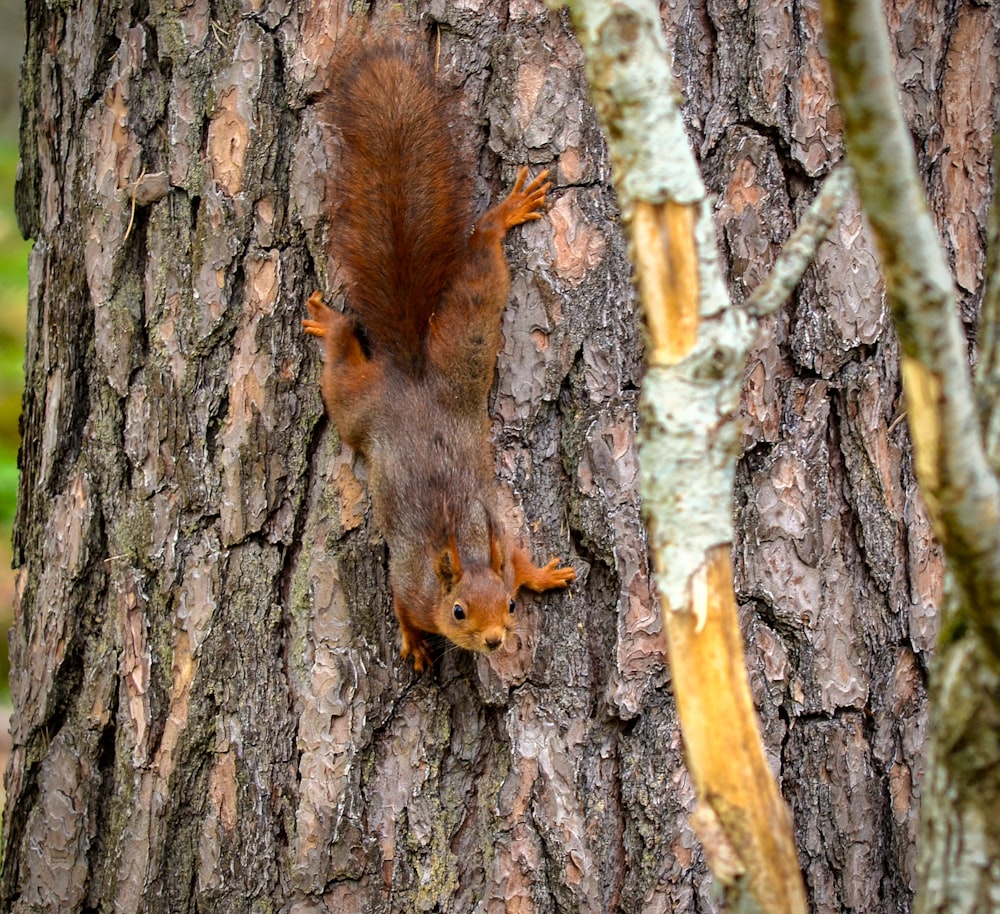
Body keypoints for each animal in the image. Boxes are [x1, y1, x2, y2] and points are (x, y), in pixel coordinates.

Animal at [300, 37, 576, 668]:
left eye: (510, 605)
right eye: (457, 612)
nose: (496, 640)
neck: (463, 556)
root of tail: (412, 374)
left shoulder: (500, 549)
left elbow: (516, 559)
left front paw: (542, 574)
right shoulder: (409, 582)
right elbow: (401, 607)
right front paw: (413, 643)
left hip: (465, 348)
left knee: (481, 271)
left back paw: (502, 217)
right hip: (366, 403)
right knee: (342, 373)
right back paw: (331, 327)